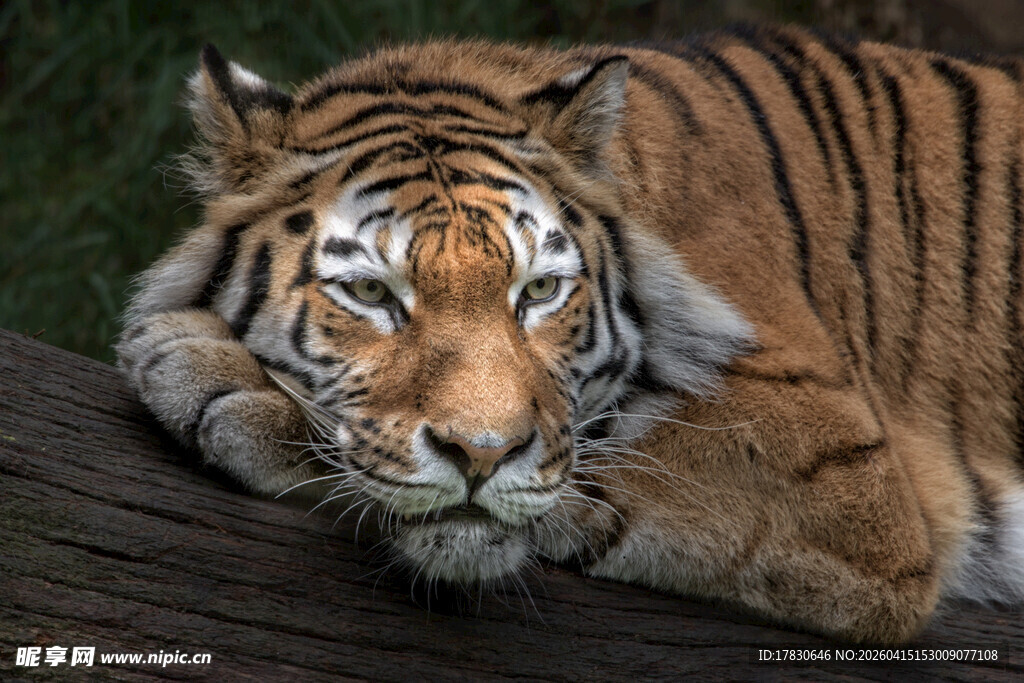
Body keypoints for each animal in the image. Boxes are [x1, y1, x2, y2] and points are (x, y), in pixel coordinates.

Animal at [116, 24, 1024, 643]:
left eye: (540, 291)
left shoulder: (845, 470)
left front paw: (210, 376)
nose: (480, 454)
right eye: (371, 292)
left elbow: (614, 461)